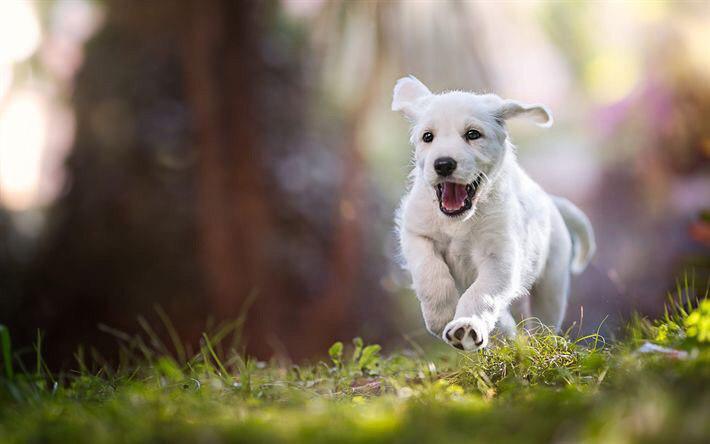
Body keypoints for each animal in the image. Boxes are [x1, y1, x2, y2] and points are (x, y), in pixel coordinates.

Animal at [392, 76, 596, 350]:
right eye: (428, 136)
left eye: (473, 134)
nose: (443, 164)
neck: (460, 220)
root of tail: (550, 200)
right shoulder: (416, 233)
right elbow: (429, 273)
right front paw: (441, 315)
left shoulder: (500, 258)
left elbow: (482, 295)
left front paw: (466, 326)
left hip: (551, 284)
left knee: (543, 322)